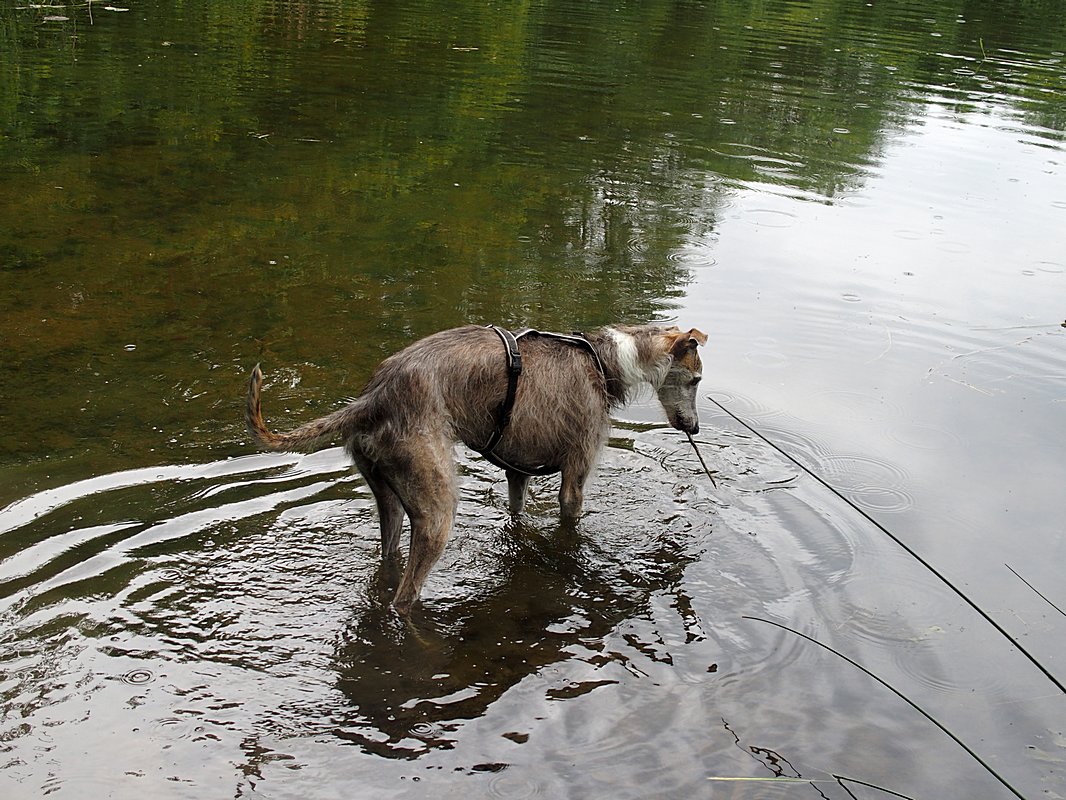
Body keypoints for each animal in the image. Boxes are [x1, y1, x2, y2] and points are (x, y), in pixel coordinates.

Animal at [246, 323, 708, 613]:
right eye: (697, 380)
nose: (694, 428)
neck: (603, 360)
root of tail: (371, 399)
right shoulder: (575, 477)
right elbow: (571, 519)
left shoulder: (517, 471)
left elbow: (517, 510)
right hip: (437, 509)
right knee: (403, 599)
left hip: (388, 500)